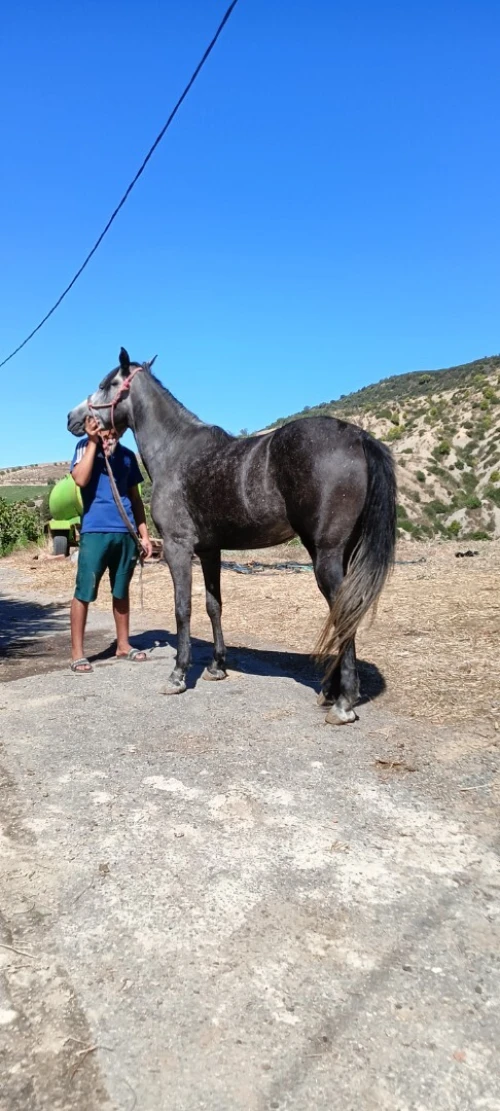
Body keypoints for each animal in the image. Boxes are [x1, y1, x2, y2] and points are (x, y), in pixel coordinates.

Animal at [68, 348, 396, 725]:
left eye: (107, 384)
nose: (72, 418)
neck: (174, 451)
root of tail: (359, 438)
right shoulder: (210, 551)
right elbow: (214, 606)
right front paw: (216, 666)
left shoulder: (179, 548)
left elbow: (183, 608)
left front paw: (178, 674)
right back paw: (330, 691)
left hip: (327, 555)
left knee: (344, 610)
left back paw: (344, 702)